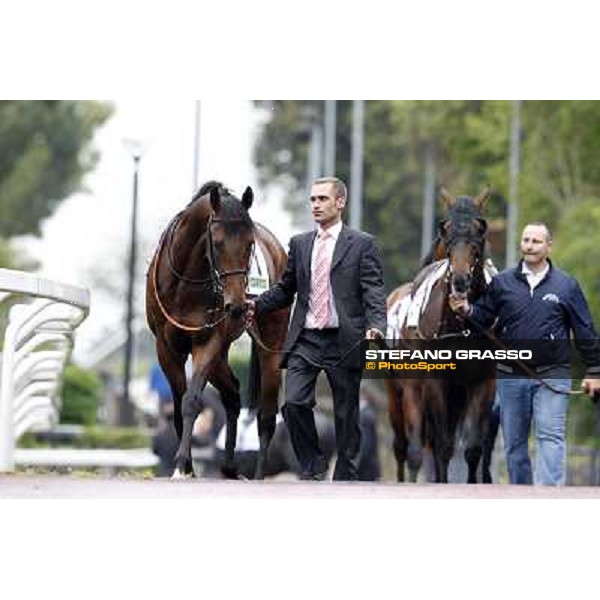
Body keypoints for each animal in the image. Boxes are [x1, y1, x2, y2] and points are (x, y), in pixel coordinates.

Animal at [149, 180, 292, 480]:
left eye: (250, 244)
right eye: (217, 243)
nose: (236, 306)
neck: (184, 283)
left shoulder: (208, 342)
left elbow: (191, 400)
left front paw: (181, 465)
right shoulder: (165, 348)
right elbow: (178, 405)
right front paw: (187, 467)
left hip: (271, 344)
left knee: (266, 415)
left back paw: (258, 474)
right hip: (222, 354)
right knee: (232, 393)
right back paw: (228, 467)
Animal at [384, 188, 496, 482]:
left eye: (479, 232)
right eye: (447, 234)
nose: (460, 280)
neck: (461, 323)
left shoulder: (482, 383)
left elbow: (472, 448)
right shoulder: (434, 383)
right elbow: (441, 445)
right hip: (397, 393)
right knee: (404, 446)